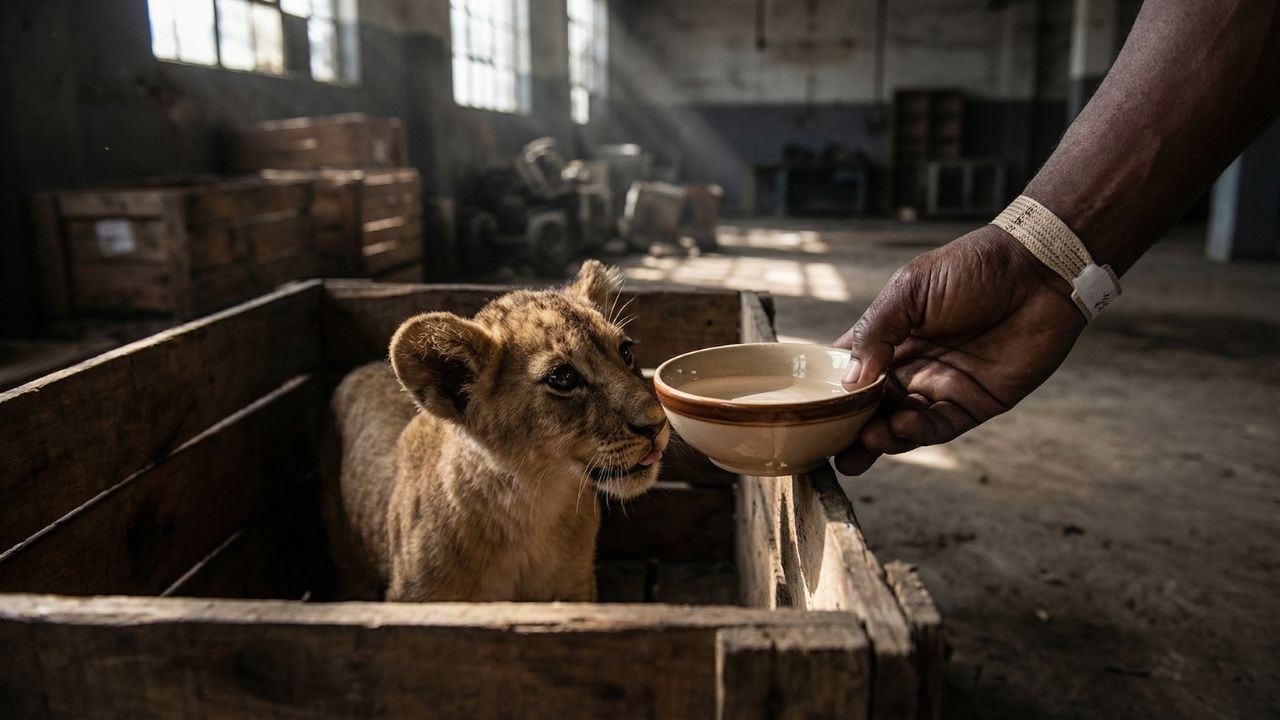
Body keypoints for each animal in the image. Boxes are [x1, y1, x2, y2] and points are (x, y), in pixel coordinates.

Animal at [321, 261, 669, 602]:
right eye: (562, 378)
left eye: (626, 352)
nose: (657, 423)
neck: (534, 508)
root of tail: (359, 367)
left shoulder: (577, 588)